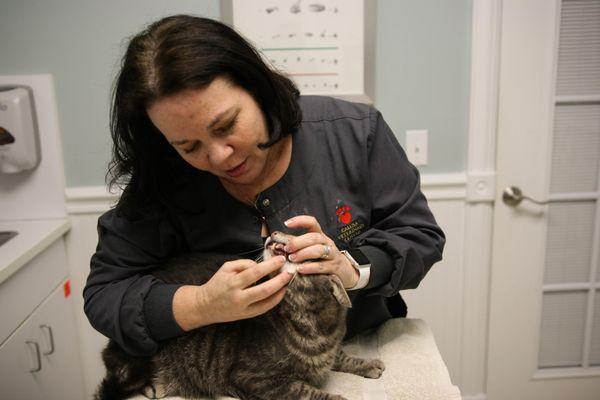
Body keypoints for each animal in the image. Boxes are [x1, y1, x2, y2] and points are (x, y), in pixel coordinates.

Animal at [94, 231, 384, 400]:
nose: (273, 230)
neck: (316, 325)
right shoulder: (257, 379)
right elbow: (306, 390)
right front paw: (337, 398)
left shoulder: (330, 350)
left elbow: (342, 356)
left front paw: (367, 363)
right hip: (135, 358)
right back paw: (153, 386)